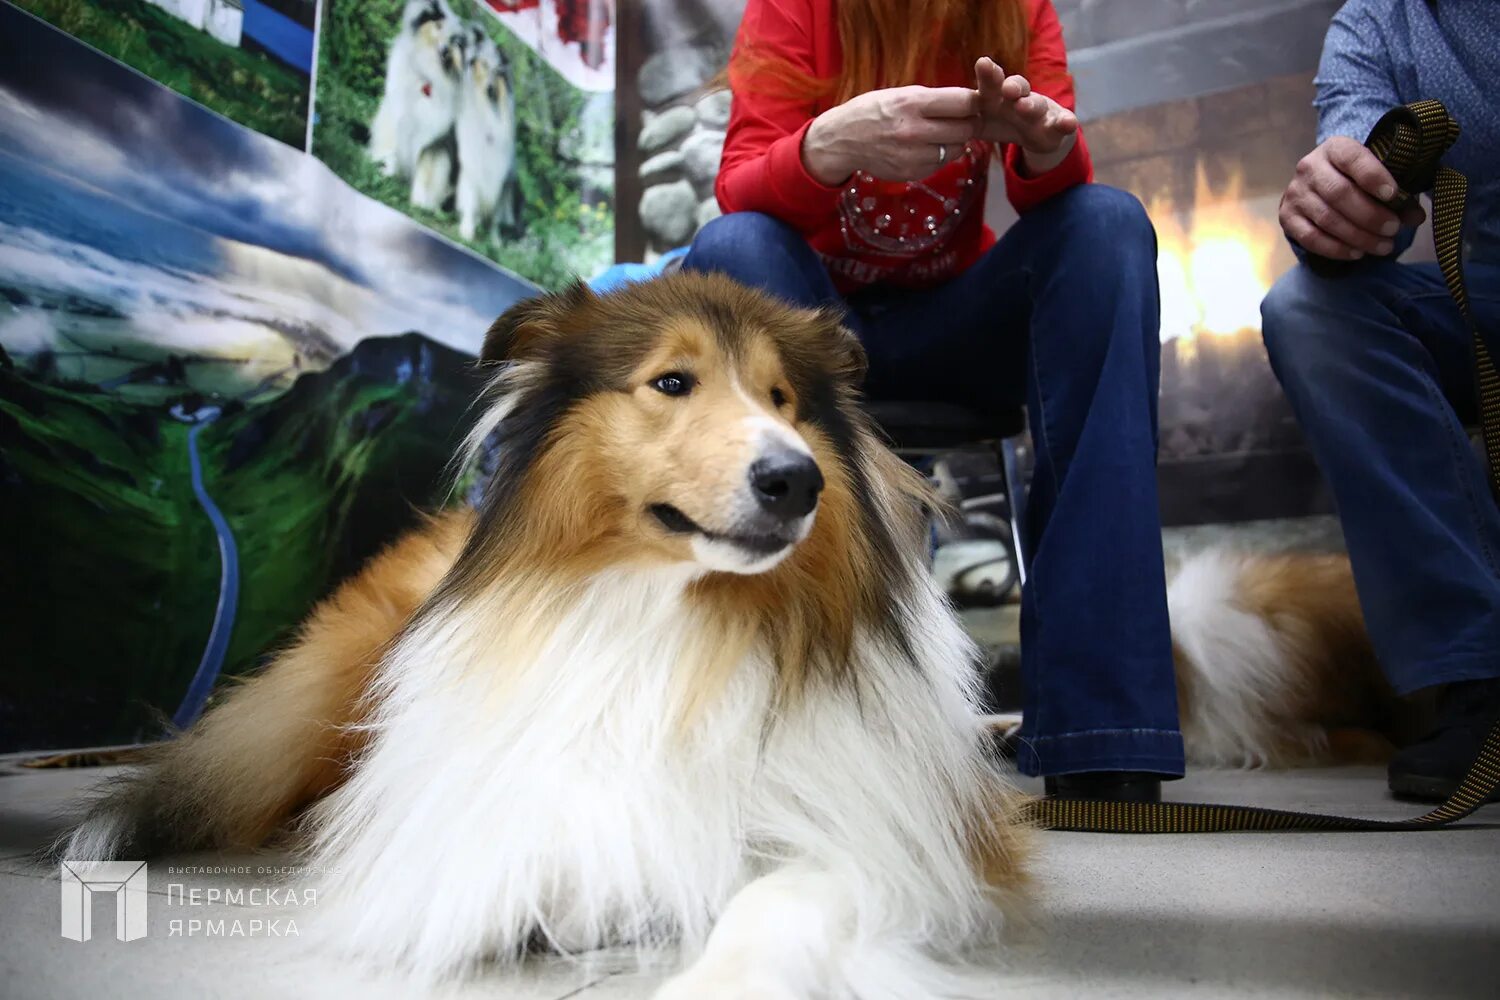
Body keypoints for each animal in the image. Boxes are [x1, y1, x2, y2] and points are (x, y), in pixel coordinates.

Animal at [64, 271, 1038, 995]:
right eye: (672, 381)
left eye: (783, 398)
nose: (797, 481)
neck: (674, 617)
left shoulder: (894, 833)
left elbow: (783, 897)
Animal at [367, 0, 462, 197]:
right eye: (438, 26)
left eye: (455, 40)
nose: (444, 51)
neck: (431, 75)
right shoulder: (397, 115)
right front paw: (383, 169)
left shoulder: (435, 138)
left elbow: (426, 171)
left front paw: (418, 200)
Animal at [453, 27, 519, 239]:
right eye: (483, 65)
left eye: (498, 72)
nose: (490, 90)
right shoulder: (473, 169)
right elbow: (471, 201)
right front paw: (467, 231)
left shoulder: (501, 178)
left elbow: (496, 218)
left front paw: (495, 240)